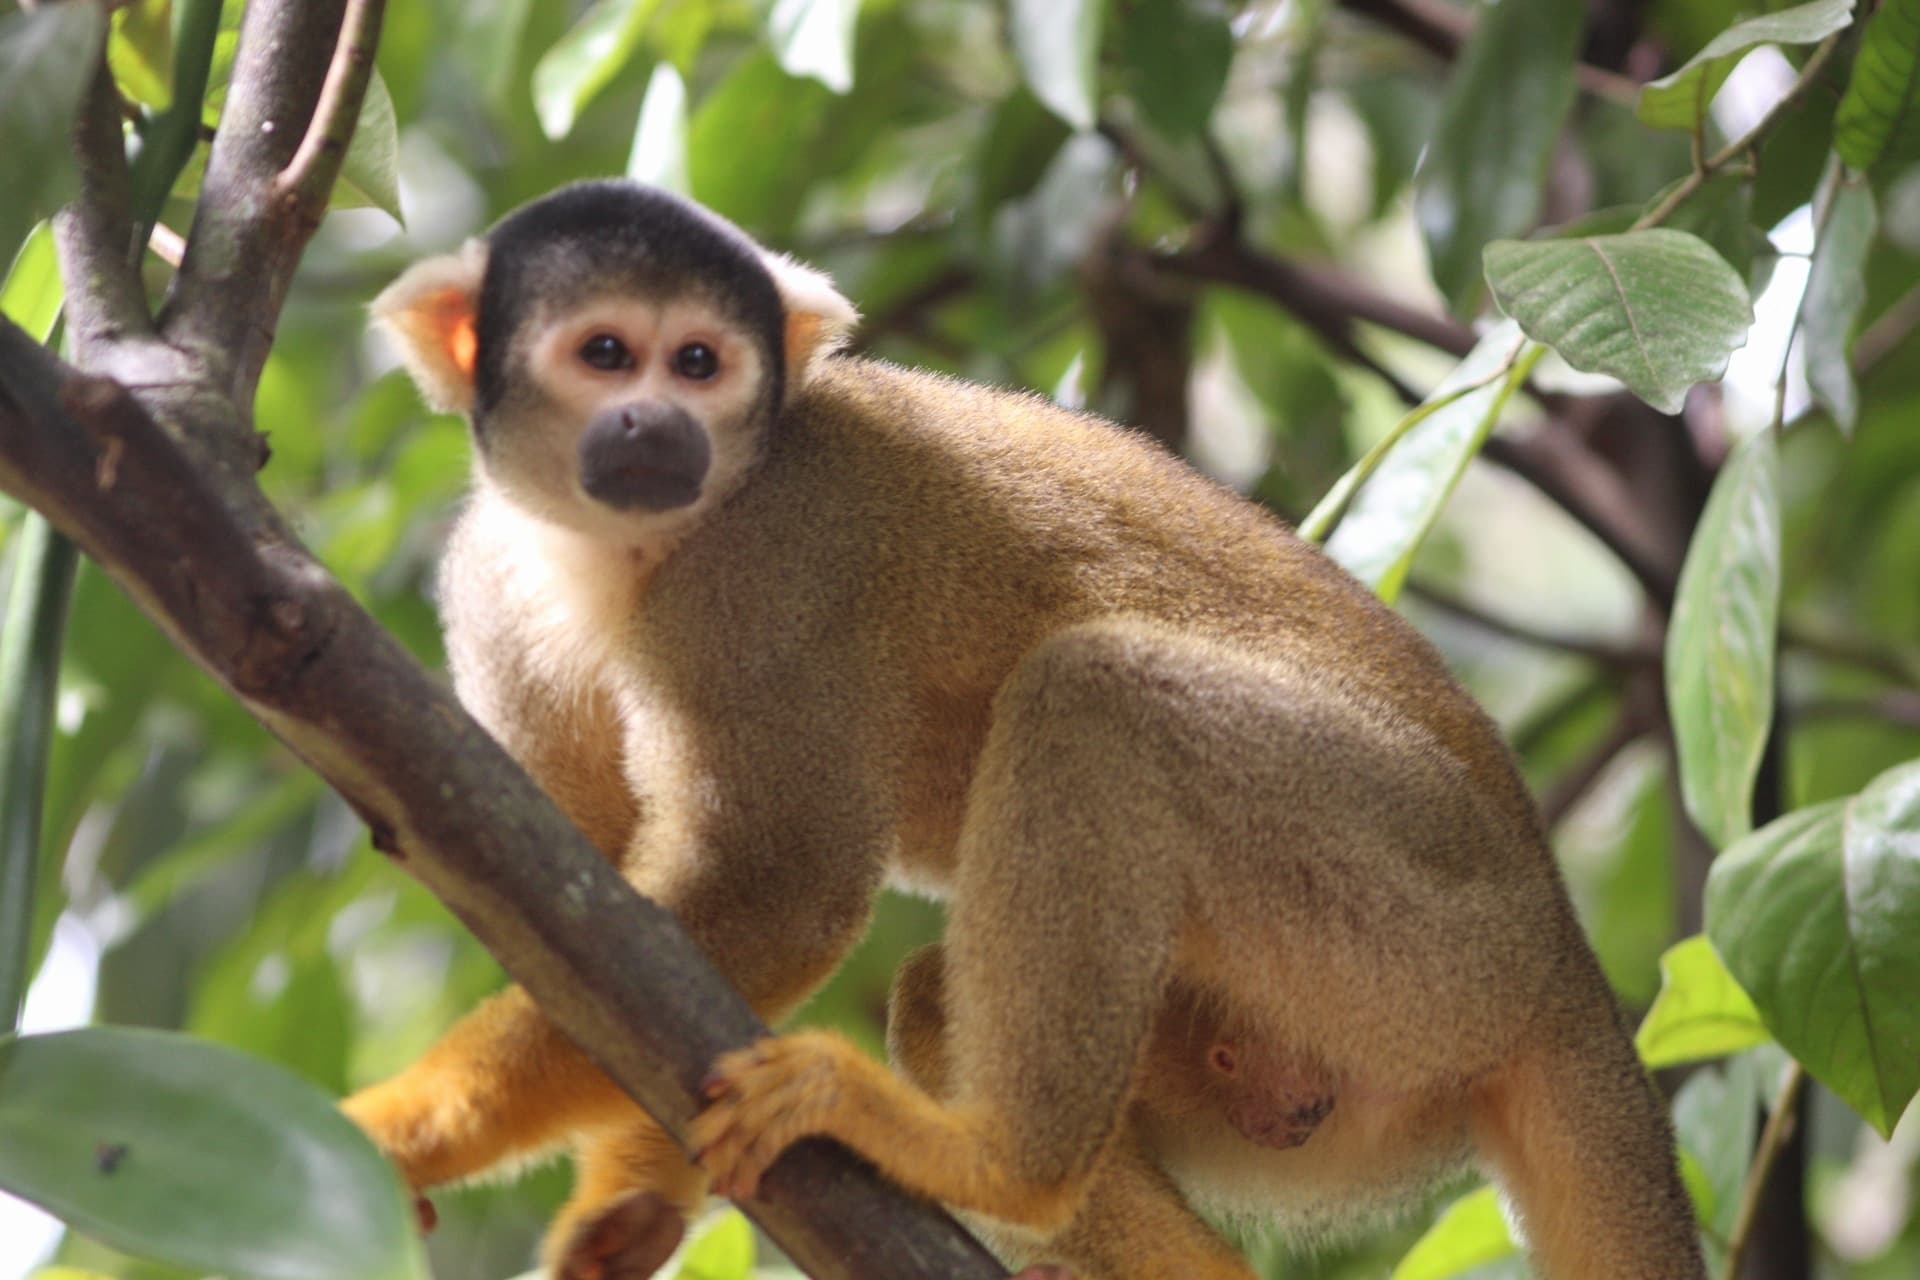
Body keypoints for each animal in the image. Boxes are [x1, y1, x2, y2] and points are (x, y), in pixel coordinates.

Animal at [344, 178, 1705, 1280]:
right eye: (606, 352)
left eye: (698, 363)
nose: (653, 427)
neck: (618, 549)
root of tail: (1563, 958)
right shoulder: (489, 579)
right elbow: (581, 916)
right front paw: (635, 1194)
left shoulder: (773, 564)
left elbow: (776, 889)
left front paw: (403, 1127)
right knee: (951, 985)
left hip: (1427, 927)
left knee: (1098, 696)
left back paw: (998, 1161)